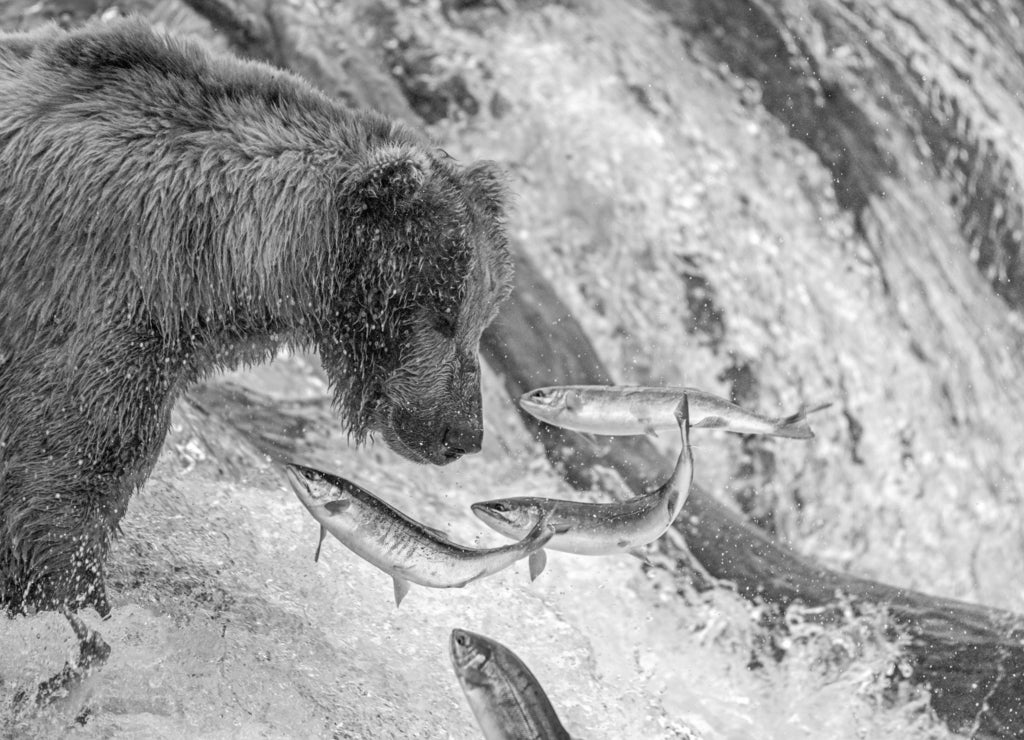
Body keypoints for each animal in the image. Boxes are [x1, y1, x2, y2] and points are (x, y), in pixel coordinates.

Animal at [0, 17, 512, 622]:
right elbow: (68, 466)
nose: (463, 433)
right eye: (444, 314)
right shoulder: (95, 293)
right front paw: (70, 599)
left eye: (484, 315)